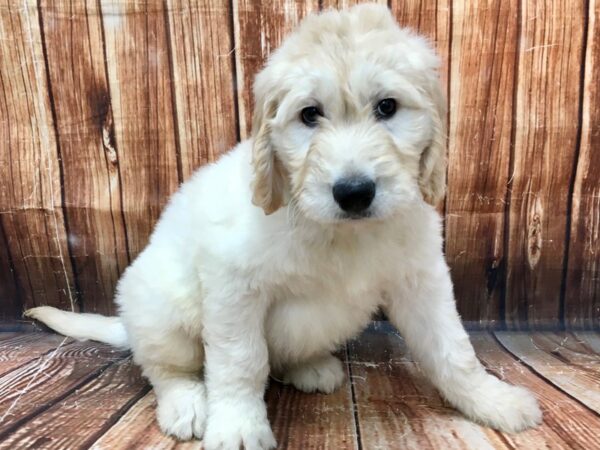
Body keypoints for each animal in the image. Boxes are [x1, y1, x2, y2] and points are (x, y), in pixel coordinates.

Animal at [27, 4, 544, 450]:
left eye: (387, 107)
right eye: (309, 114)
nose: (353, 192)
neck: (339, 232)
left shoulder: (421, 278)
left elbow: (452, 348)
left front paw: (491, 399)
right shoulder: (233, 286)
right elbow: (240, 362)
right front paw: (237, 426)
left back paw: (310, 367)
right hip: (159, 307)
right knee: (166, 368)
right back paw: (187, 403)